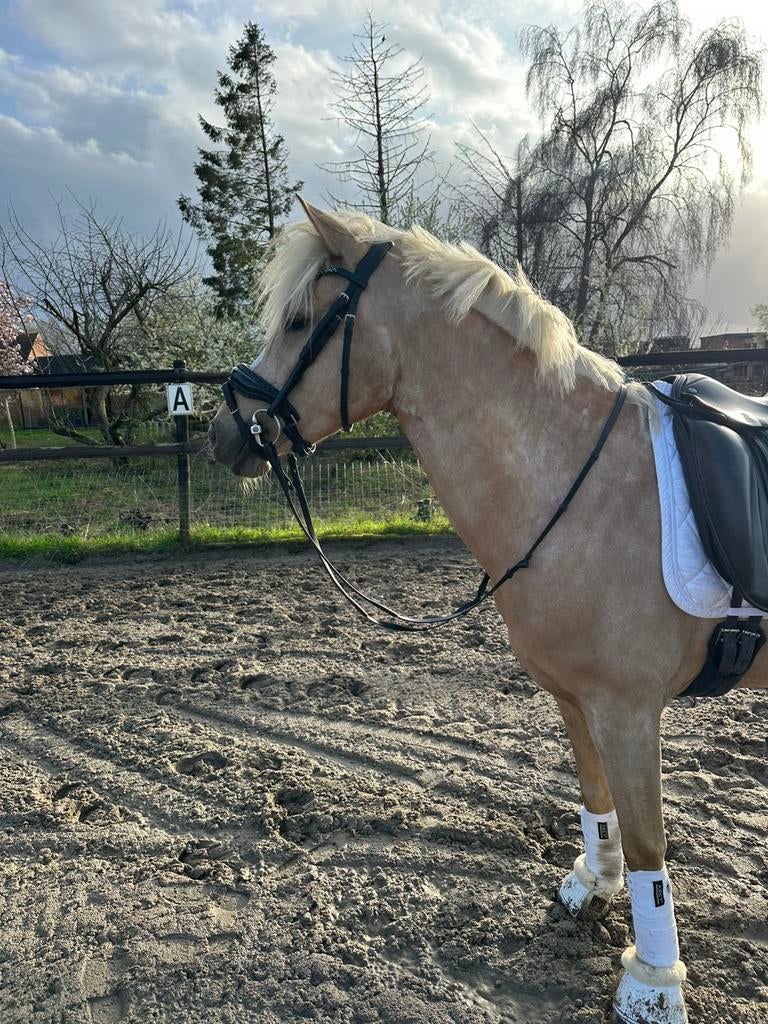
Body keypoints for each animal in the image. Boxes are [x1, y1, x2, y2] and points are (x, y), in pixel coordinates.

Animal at [209, 199, 768, 1024]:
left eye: (301, 320)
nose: (223, 434)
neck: (571, 476)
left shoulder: (629, 710)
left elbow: (648, 845)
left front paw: (652, 983)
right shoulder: (577, 699)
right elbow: (597, 802)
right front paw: (592, 887)